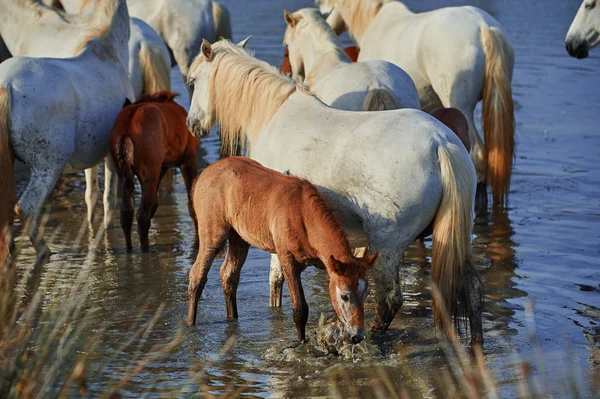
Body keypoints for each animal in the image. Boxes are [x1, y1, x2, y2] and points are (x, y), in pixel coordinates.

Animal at [109, 92, 199, 252]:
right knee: (142, 217)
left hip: (125, 174)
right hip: (150, 175)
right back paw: (145, 250)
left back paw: (130, 250)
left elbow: (155, 205)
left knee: (126, 214)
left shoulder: (162, 167)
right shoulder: (188, 160)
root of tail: (127, 129)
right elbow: (192, 202)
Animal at [185, 157, 378, 344]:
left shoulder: (326, 262)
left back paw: (232, 318)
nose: (358, 335)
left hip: (239, 239)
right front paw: (301, 342)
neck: (301, 213)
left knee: (228, 275)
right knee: (197, 275)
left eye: (366, 292)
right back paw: (190, 323)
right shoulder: (287, 259)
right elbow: (300, 309)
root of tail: (205, 173)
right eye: (345, 296)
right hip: (213, 236)